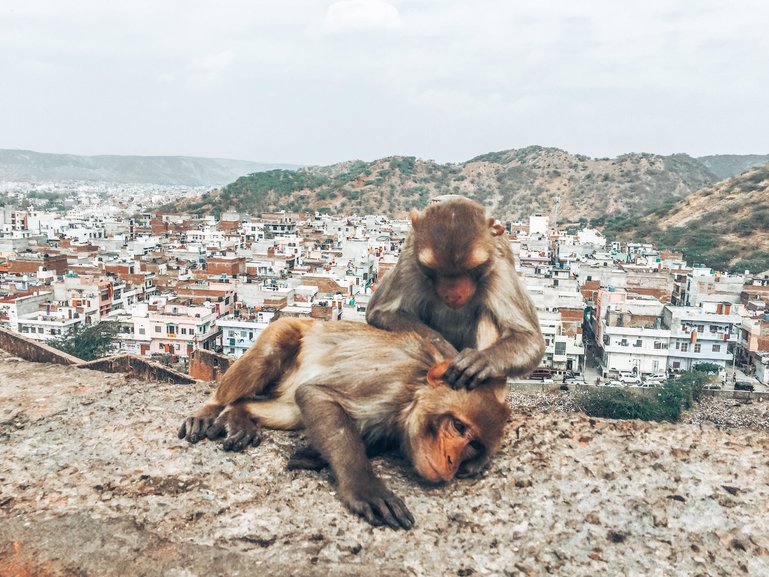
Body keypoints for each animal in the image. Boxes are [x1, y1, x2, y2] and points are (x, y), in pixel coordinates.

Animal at [176, 318, 508, 528]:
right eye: (459, 427)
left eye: (473, 446)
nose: (452, 461)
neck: (413, 390)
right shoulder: (388, 383)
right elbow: (316, 395)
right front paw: (364, 487)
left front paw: (314, 456)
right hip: (285, 329)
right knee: (272, 353)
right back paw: (212, 408)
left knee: (290, 411)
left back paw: (239, 413)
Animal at [368, 196, 544, 390]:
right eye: (434, 269)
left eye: (472, 268)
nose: (453, 295)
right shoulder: (409, 263)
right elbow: (380, 312)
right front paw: (442, 347)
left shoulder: (500, 271)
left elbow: (528, 337)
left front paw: (482, 359)